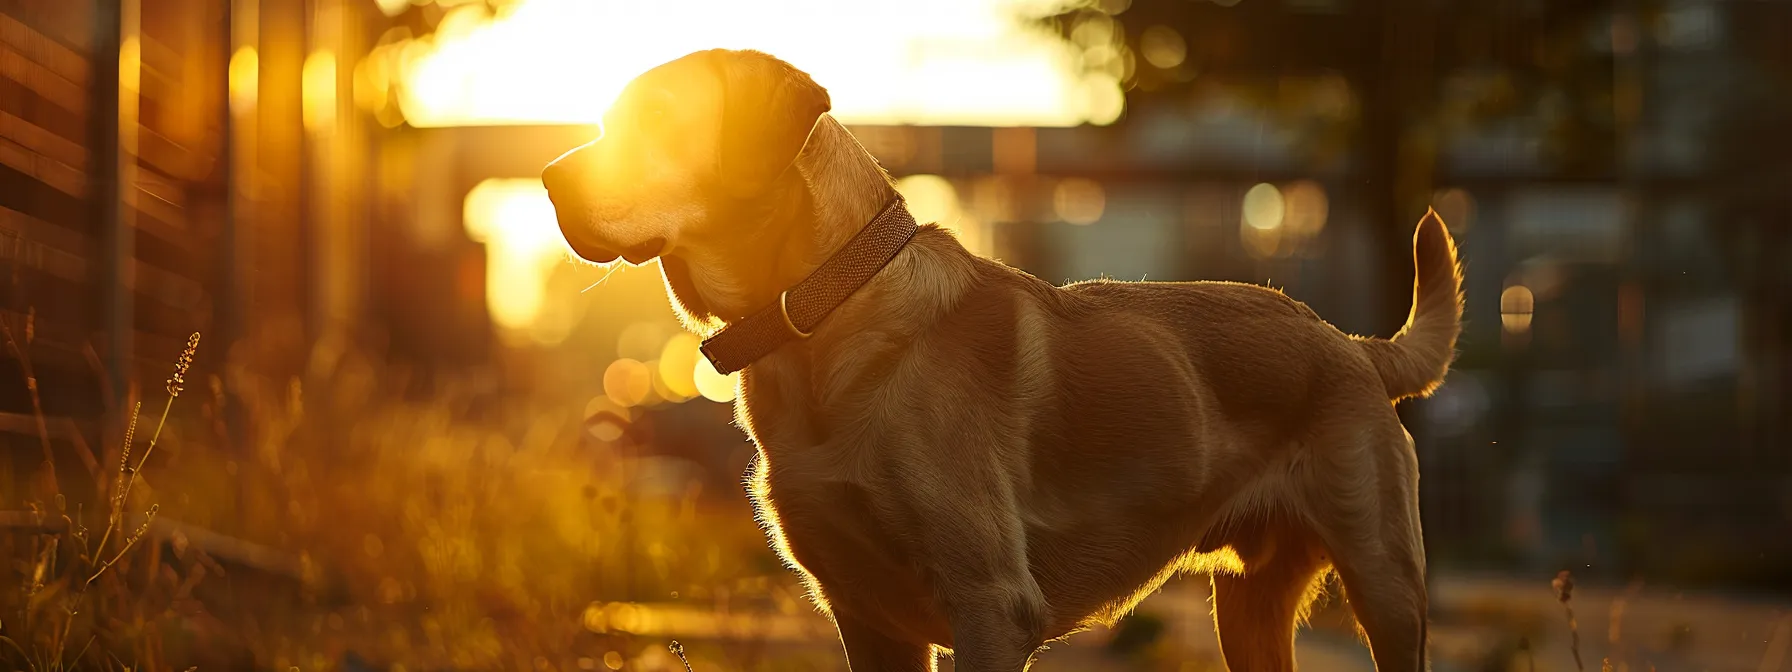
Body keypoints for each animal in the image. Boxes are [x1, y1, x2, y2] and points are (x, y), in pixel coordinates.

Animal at [541, 48, 1455, 672]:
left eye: (661, 117)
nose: (547, 177)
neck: (824, 317)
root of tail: (1350, 343)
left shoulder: (991, 606)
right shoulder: (867, 621)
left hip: (1387, 585)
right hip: (1250, 608)